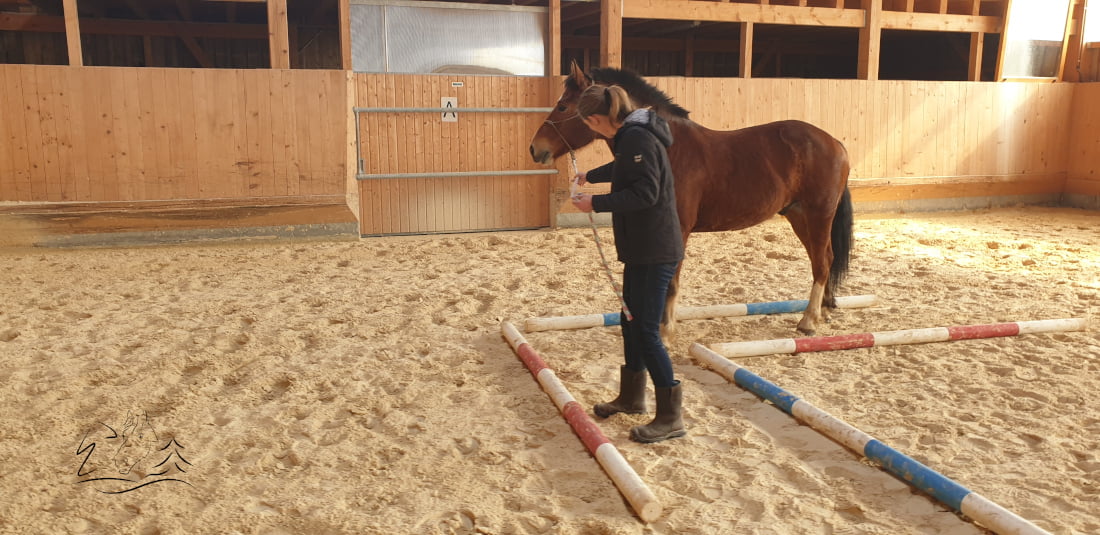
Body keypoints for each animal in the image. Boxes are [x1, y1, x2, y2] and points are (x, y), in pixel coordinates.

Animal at [529, 62, 853, 336]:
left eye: (562, 106)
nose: (535, 148)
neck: (669, 147)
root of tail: (834, 143)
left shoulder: (679, 229)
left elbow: (671, 280)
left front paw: (665, 328)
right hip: (799, 215)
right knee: (823, 258)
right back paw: (822, 311)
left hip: (818, 215)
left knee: (822, 262)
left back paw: (808, 321)